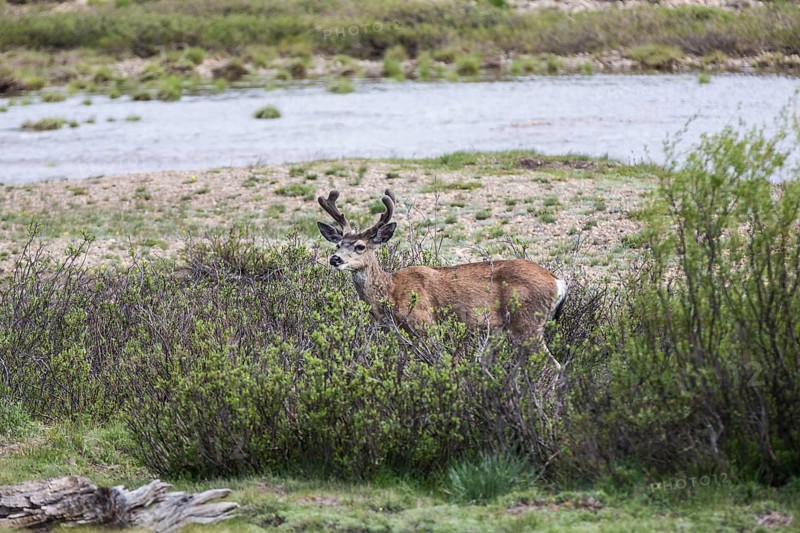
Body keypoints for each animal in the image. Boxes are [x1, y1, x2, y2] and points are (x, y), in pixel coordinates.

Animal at [316, 189, 568, 369]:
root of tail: (558, 282)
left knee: (554, 366)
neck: (391, 292)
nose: (335, 259)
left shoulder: (425, 324)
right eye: (338, 244)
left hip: (529, 322)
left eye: (360, 246)